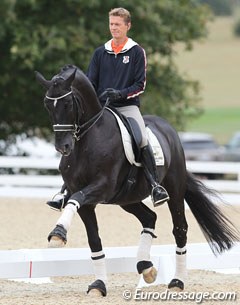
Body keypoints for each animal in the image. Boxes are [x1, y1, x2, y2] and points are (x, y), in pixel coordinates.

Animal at [35, 64, 238, 294]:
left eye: (68, 103)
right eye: (47, 105)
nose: (63, 147)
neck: (88, 140)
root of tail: (168, 129)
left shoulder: (102, 186)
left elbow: (76, 198)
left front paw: (57, 233)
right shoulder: (86, 201)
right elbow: (93, 238)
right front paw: (99, 285)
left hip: (174, 191)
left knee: (180, 229)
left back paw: (177, 281)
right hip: (127, 199)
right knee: (150, 218)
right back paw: (146, 267)